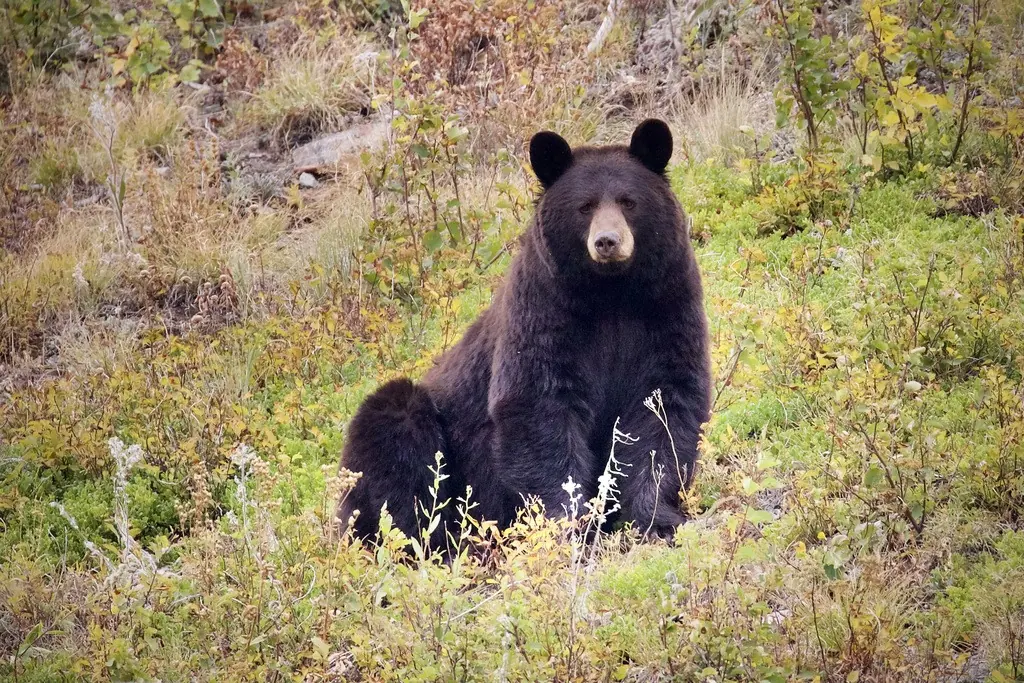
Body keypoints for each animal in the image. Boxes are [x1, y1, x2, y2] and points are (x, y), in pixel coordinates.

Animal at [336, 119, 711, 548]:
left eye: (628, 201)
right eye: (584, 206)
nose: (607, 242)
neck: (610, 294)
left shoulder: (667, 307)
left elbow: (665, 408)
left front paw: (658, 518)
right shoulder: (543, 311)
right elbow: (537, 406)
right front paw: (570, 525)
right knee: (395, 441)